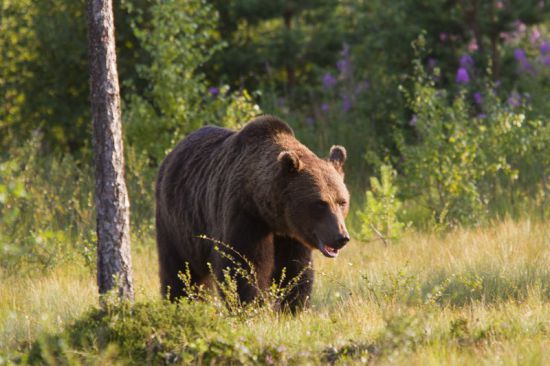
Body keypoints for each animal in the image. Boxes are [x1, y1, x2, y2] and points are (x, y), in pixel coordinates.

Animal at [155, 116, 352, 310]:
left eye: (342, 201)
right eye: (320, 203)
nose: (341, 237)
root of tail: (172, 153)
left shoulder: (292, 235)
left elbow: (295, 268)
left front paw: (294, 306)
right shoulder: (245, 216)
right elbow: (244, 266)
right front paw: (252, 305)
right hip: (176, 223)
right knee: (179, 269)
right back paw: (179, 302)